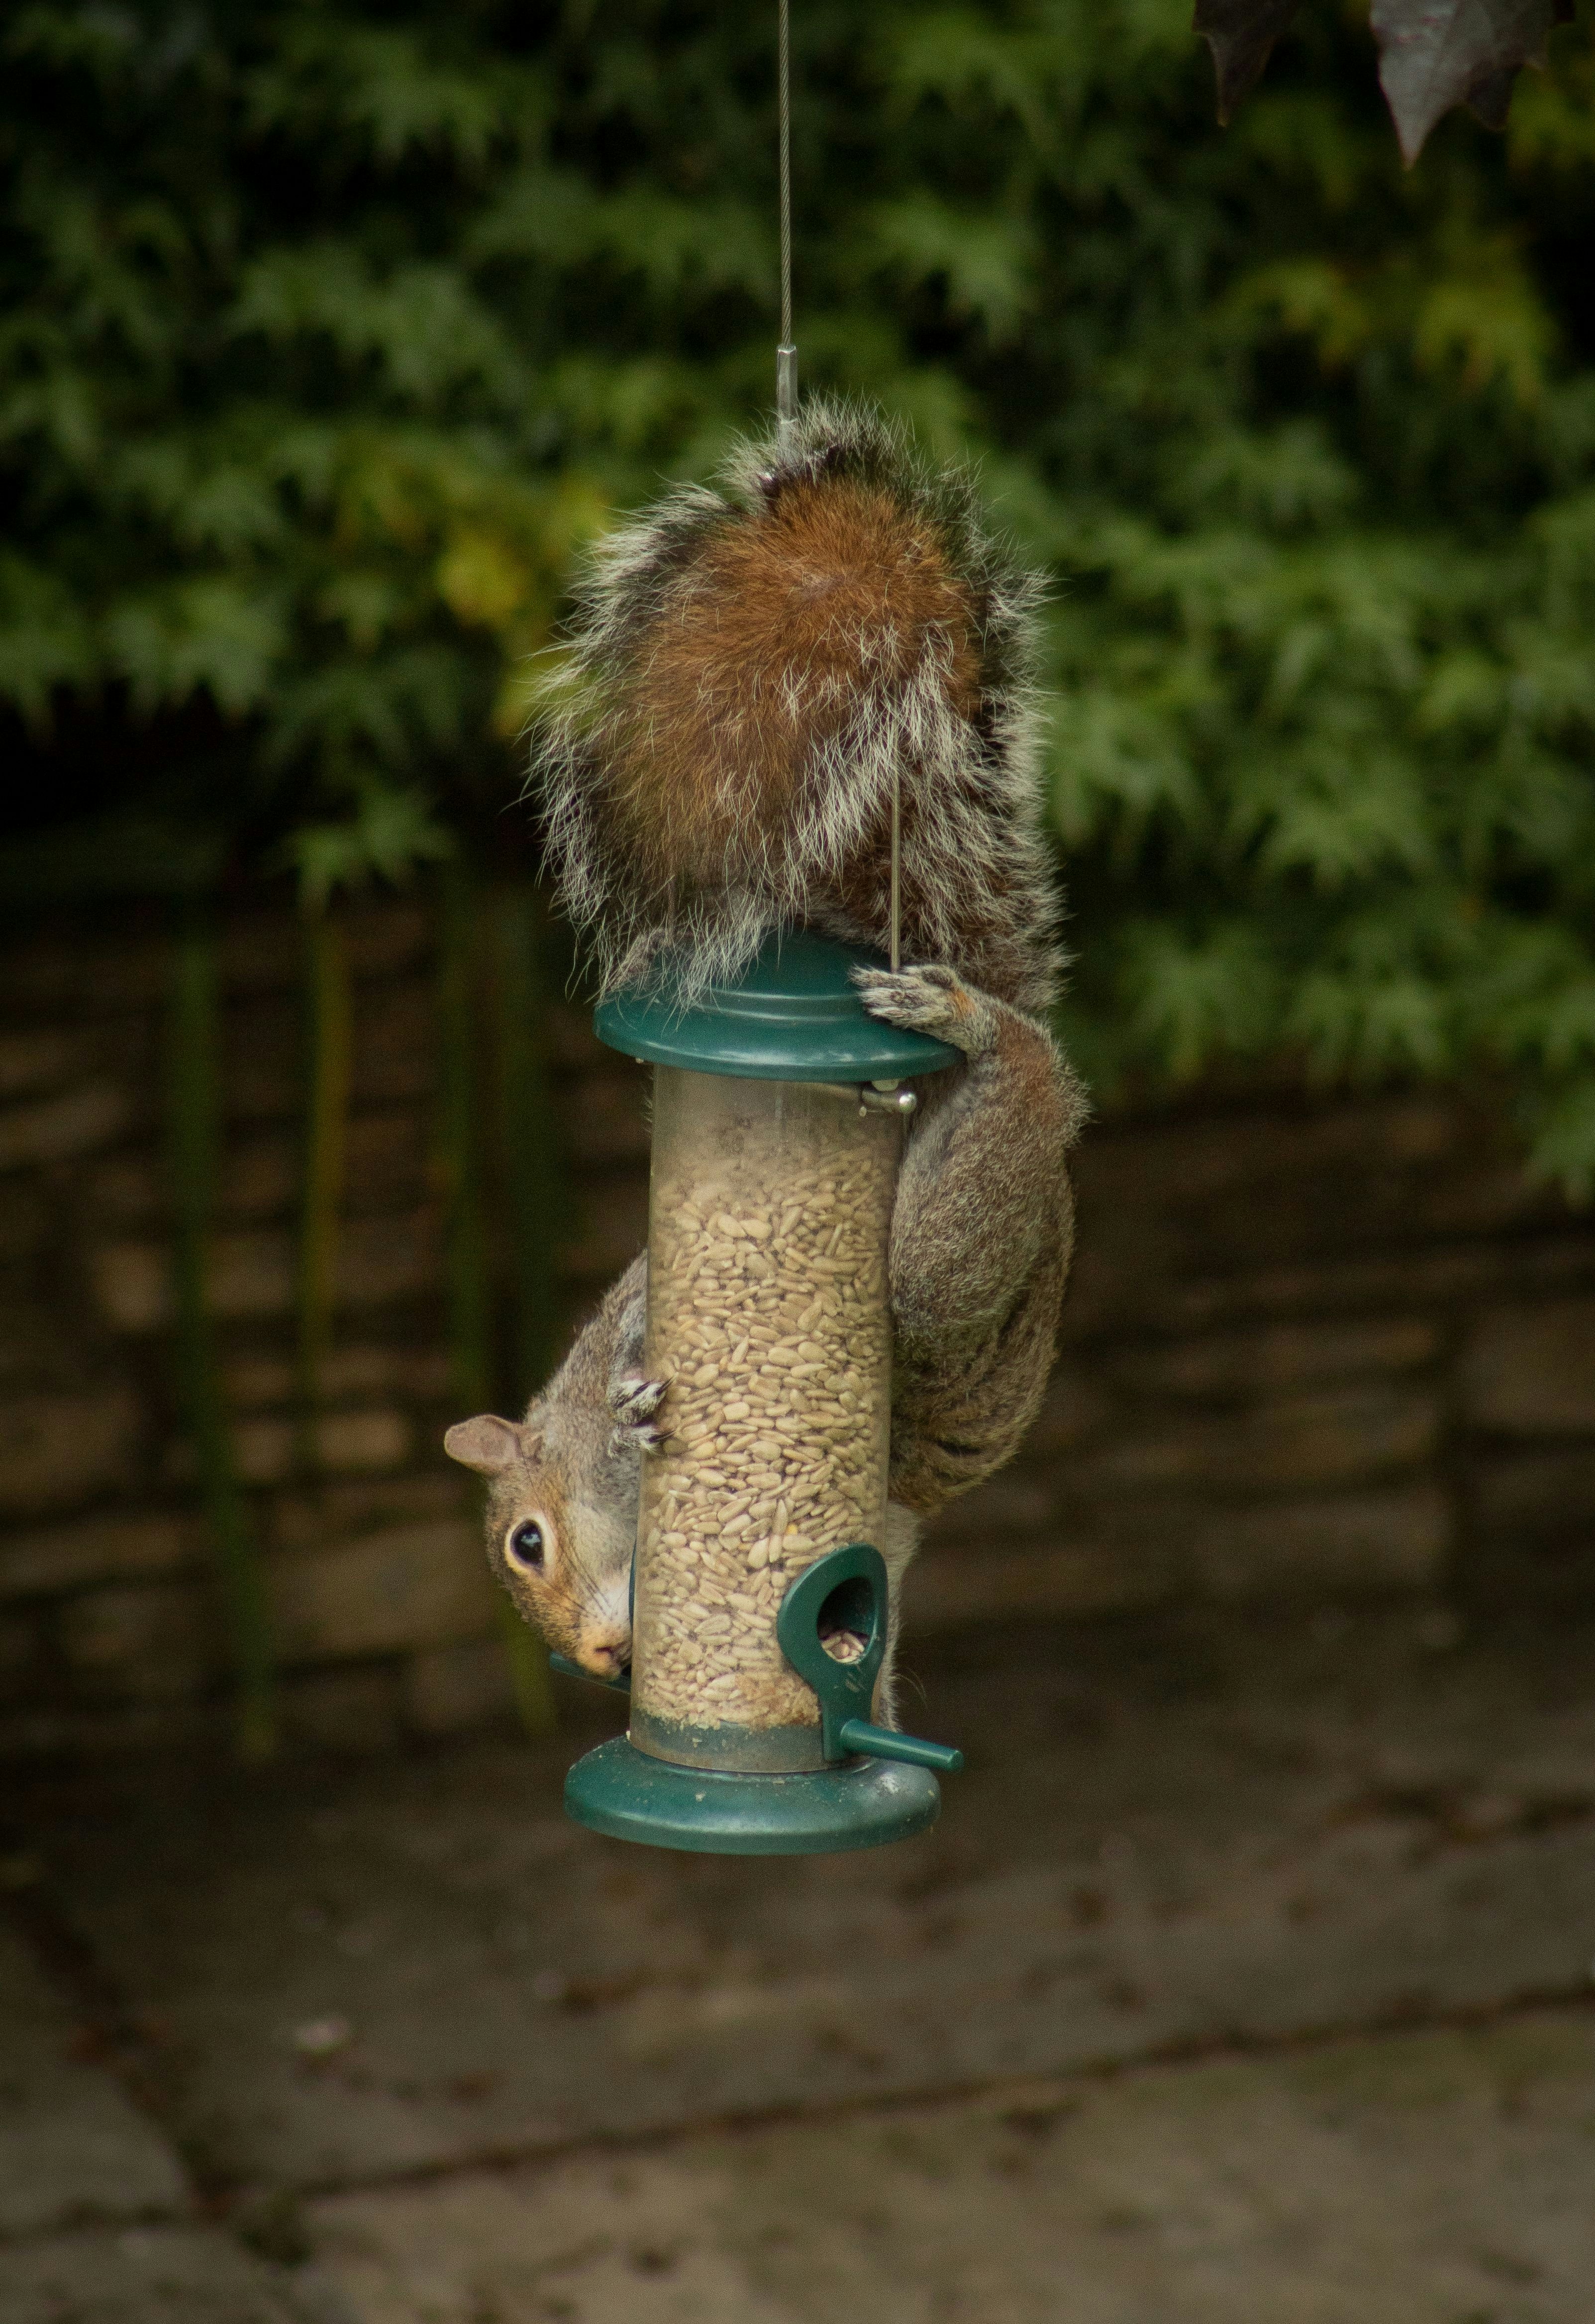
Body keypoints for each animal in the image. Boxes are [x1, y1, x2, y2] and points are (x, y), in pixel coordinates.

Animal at [445, 399, 1088, 1688]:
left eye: (529, 1541)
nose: (602, 1663)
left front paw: (640, 1412)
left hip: (951, 1259)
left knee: (1007, 1112)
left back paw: (974, 1026)